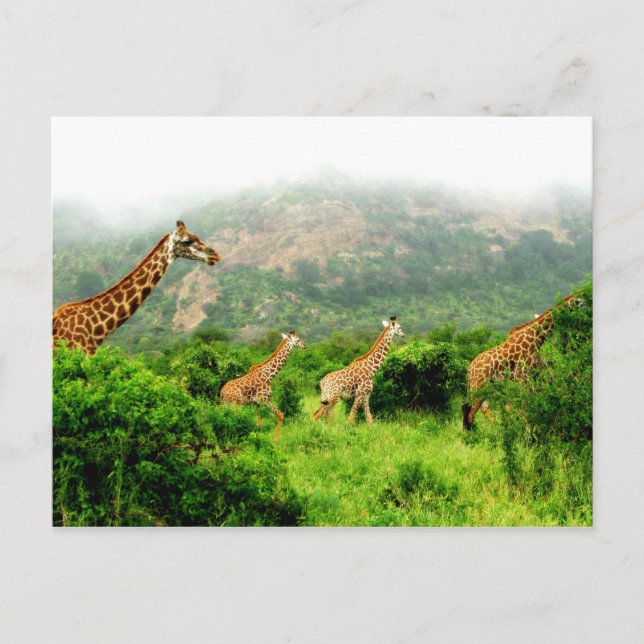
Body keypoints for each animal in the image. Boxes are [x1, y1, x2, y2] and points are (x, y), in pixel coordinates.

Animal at [462, 294, 583, 429]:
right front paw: (526, 429)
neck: (535, 338)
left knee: (479, 408)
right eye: (578, 300)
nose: (584, 301)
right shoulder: (523, 378)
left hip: (487, 387)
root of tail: (470, 369)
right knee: (471, 413)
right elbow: (523, 406)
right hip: (479, 386)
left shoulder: (532, 376)